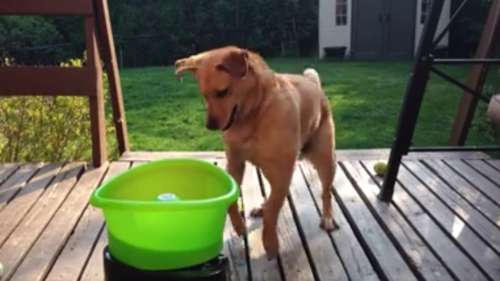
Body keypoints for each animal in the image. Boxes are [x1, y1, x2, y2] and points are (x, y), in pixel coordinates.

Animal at [174, 46, 338, 258]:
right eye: (204, 95)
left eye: (223, 92)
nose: (210, 126)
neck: (253, 114)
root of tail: (313, 83)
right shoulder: (235, 163)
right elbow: (235, 201)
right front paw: (238, 226)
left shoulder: (282, 170)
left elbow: (273, 210)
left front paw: (270, 242)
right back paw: (262, 207)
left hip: (325, 160)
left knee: (325, 192)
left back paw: (327, 217)